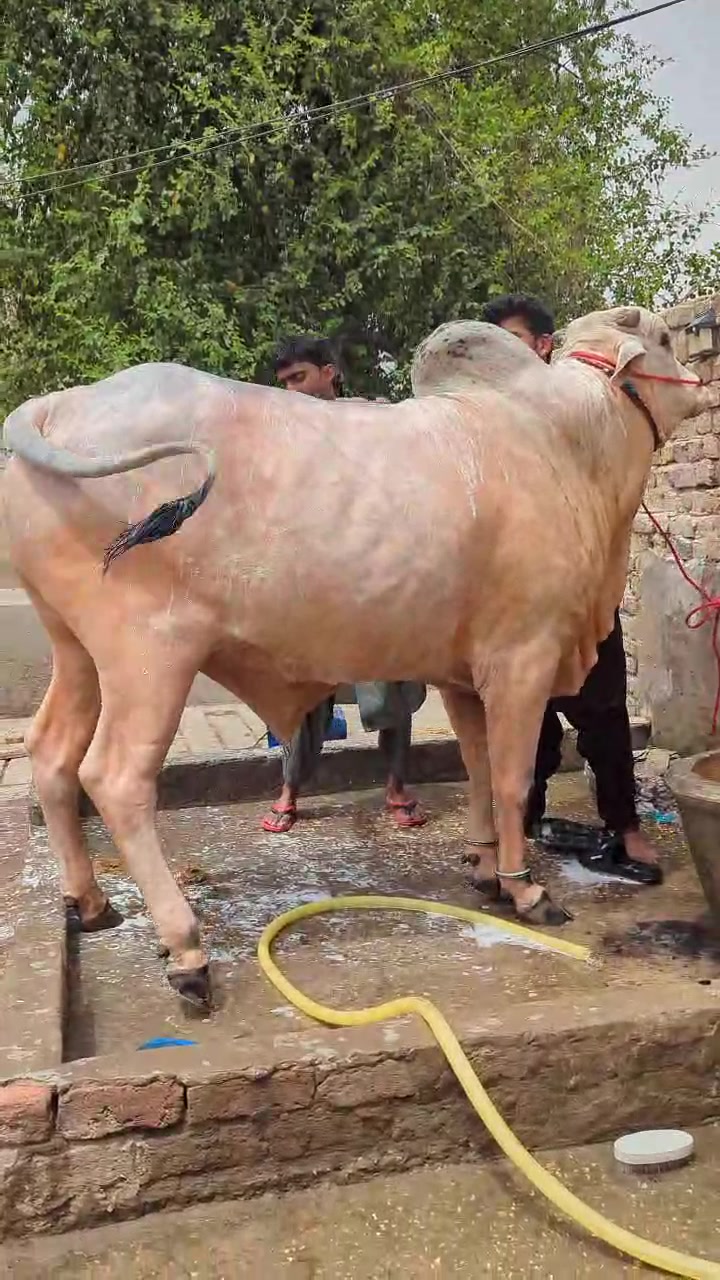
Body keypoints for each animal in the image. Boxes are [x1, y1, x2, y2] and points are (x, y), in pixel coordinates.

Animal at [1, 306, 711, 1008]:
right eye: (665, 338)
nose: (701, 384)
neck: (568, 444)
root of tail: (54, 405)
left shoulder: (464, 677)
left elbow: (480, 772)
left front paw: (485, 870)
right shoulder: (522, 661)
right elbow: (513, 779)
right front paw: (525, 887)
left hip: (78, 650)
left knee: (51, 752)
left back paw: (91, 903)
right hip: (150, 655)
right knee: (115, 778)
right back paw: (187, 951)